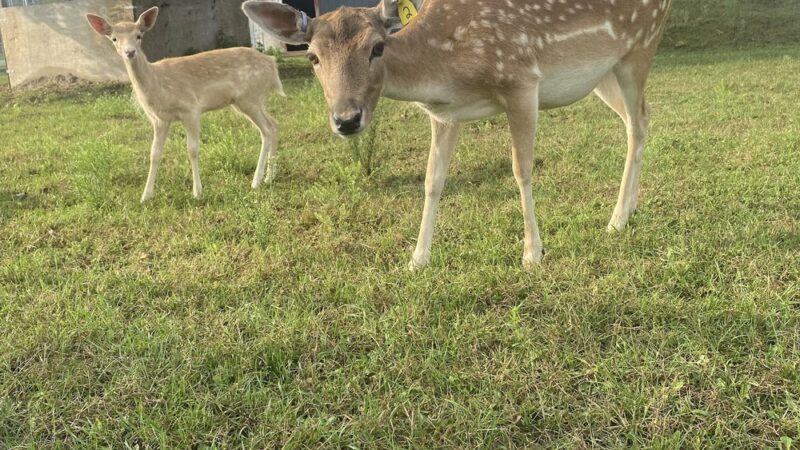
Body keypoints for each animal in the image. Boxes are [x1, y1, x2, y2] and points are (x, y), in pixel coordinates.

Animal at [86, 7, 284, 202]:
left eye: (139, 35)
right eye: (114, 39)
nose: (130, 52)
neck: (158, 86)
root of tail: (272, 65)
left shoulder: (191, 108)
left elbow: (192, 149)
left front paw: (197, 192)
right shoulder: (159, 119)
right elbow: (154, 153)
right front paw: (146, 196)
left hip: (248, 97)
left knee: (266, 130)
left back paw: (256, 181)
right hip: (251, 100)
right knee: (274, 124)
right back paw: (270, 177)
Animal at [243, 0, 673, 270]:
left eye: (377, 47)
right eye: (313, 56)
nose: (346, 120)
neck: (445, 74)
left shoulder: (521, 80)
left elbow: (522, 170)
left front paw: (532, 254)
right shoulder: (444, 114)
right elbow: (433, 180)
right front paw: (417, 259)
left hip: (640, 46)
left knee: (639, 121)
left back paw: (616, 220)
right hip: (603, 73)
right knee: (638, 120)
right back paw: (629, 208)